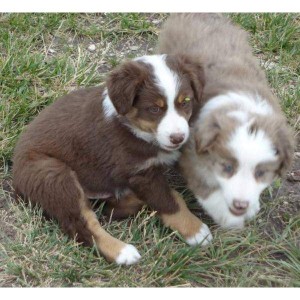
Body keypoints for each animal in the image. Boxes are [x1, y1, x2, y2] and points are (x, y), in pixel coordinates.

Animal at [12, 54, 211, 264]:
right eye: (154, 109)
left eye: (185, 101)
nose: (178, 138)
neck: (134, 128)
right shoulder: (141, 174)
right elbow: (169, 202)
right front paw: (196, 231)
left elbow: (171, 195)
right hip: (54, 175)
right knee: (82, 226)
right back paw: (122, 252)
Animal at [158, 14, 294, 230]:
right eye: (227, 168)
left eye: (261, 172)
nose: (240, 205)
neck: (245, 108)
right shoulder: (191, 155)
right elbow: (207, 188)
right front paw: (229, 218)